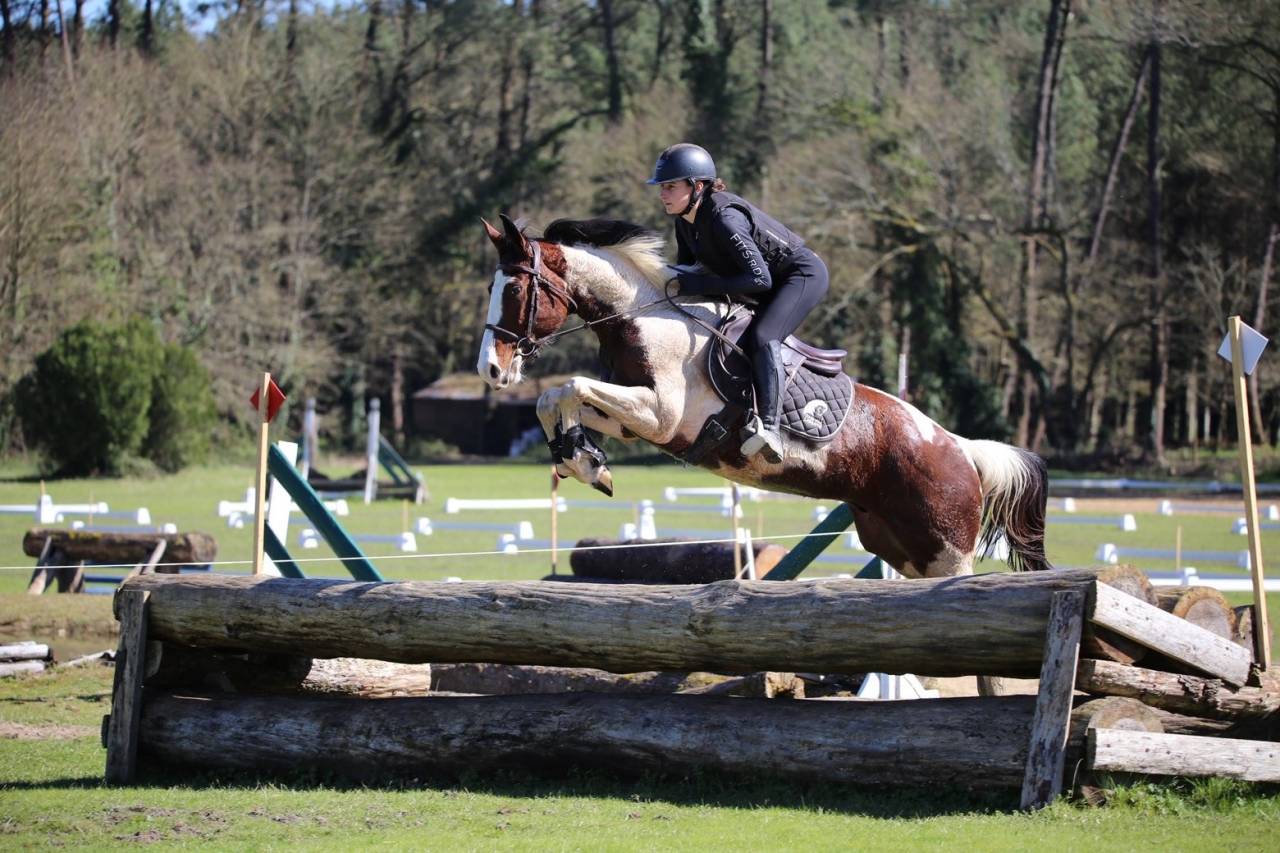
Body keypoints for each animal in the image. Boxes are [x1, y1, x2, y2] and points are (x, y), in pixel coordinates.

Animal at [476, 214, 1049, 578]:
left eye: (516, 290)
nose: (491, 369)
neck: (641, 319)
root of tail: (960, 447)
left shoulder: (662, 415)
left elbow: (569, 386)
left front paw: (582, 459)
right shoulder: (637, 415)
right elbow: (555, 400)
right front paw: (584, 461)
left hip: (947, 547)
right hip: (901, 546)